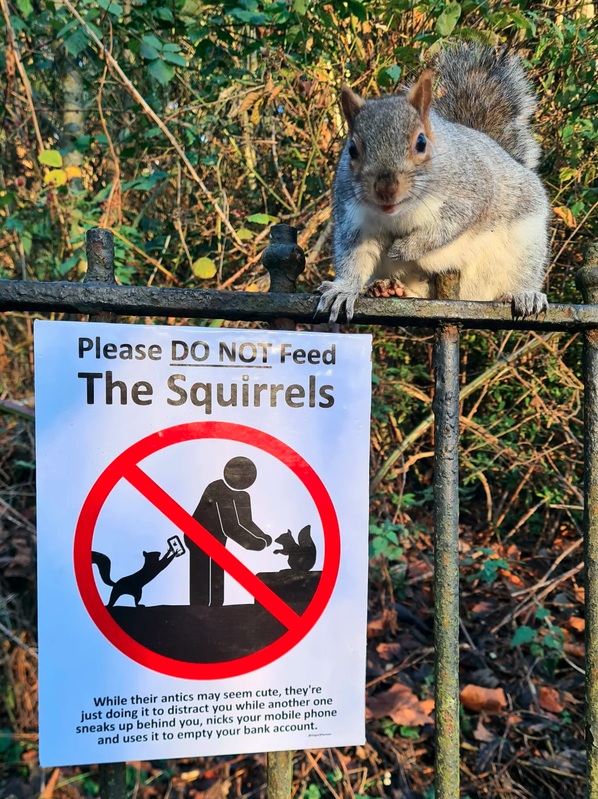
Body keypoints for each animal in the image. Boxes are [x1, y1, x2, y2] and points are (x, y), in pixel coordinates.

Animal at [317, 44, 550, 323]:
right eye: (352, 150)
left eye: (421, 143)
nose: (386, 189)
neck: (400, 213)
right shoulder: (353, 216)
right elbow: (352, 257)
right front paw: (343, 289)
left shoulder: (472, 194)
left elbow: (446, 228)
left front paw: (405, 248)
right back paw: (392, 290)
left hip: (525, 244)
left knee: (522, 274)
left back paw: (525, 295)